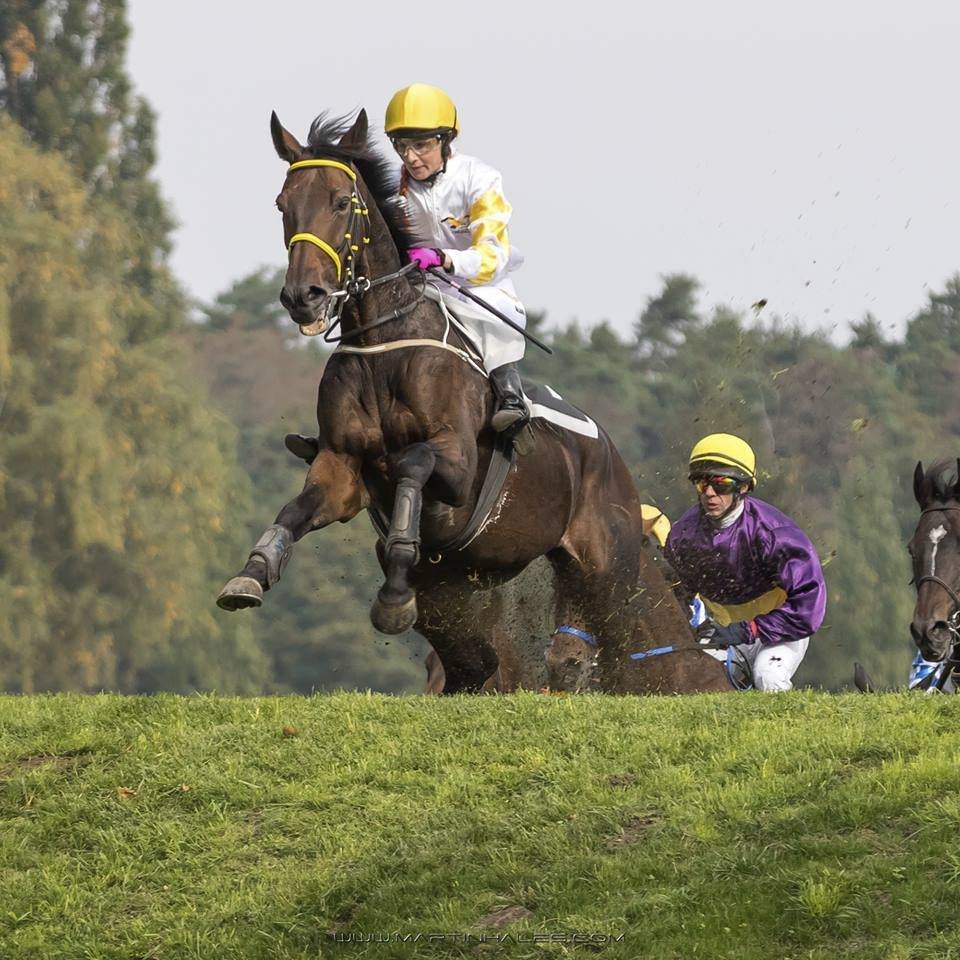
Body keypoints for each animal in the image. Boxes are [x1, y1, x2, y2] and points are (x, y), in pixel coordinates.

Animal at [216, 110, 720, 688]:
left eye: (341, 202)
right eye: (284, 204)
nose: (304, 297)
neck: (383, 343)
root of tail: (612, 458)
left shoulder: (457, 465)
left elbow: (413, 460)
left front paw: (397, 574)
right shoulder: (342, 468)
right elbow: (297, 509)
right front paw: (252, 573)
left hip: (606, 571)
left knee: (621, 653)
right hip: (473, 596)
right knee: (482, 661)